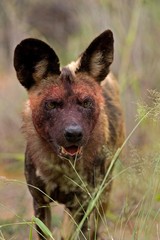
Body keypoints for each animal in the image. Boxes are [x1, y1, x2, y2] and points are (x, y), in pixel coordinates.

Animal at [13, 30, 125, 240]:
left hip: (102, 197)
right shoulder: (40, 204)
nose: (74, 133)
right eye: (52, 104)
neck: (61, 168)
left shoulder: (84, 205)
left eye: (86, 103)